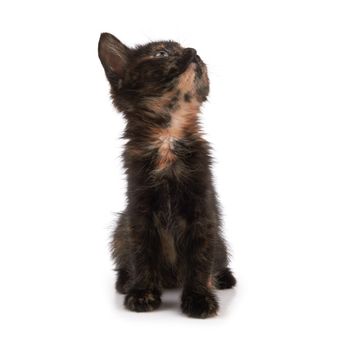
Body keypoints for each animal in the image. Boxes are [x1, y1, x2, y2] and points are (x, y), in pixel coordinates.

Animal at [98, 32, 235, 318]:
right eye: (161, 53)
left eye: (192, 51)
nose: (194, 52)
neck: (168, 136)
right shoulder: (139, 211)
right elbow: (141, 253)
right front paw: (142, 292)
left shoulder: (203, 210)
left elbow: (200, 258)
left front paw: (199, 298)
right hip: (120, 227)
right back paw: (125, 281)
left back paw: (224, 278)